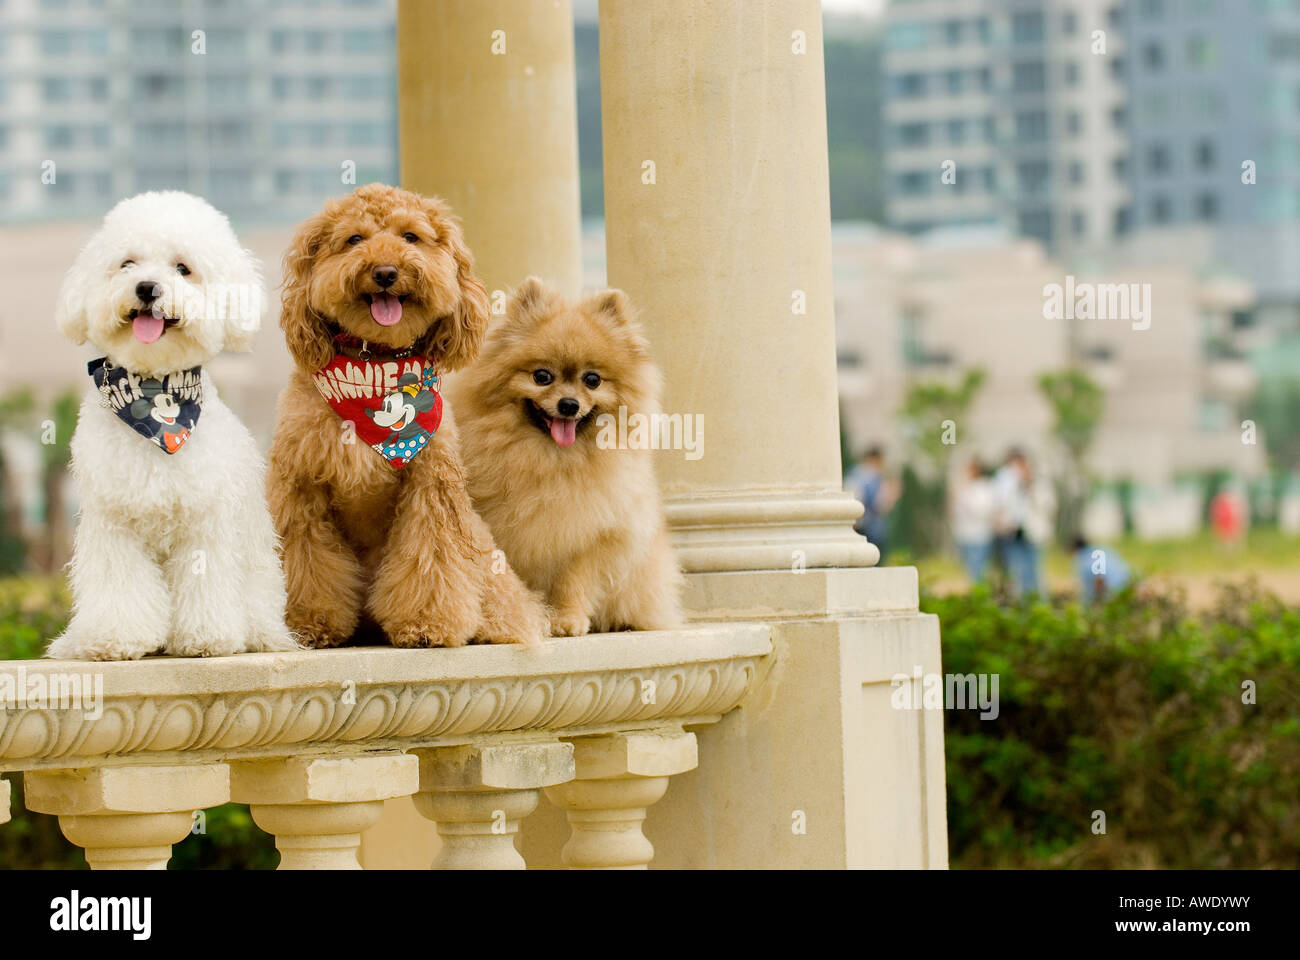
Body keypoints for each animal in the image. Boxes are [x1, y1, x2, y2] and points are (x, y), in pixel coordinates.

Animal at [47, 192, 295, 658]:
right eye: (126, 263)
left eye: (183, 268)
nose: (147, 288)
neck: (153, 396)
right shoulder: (114, 521)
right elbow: (120, 582)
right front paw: (116, 636)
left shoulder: (205, 520)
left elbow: (205, 579)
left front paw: (206, 637)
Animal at [449, 274, 681, 634]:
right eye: (542, 376)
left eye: (592, 379)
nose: (569, 404)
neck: (552, 460)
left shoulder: (592, 534)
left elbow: (574, 580)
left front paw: (568, 619)